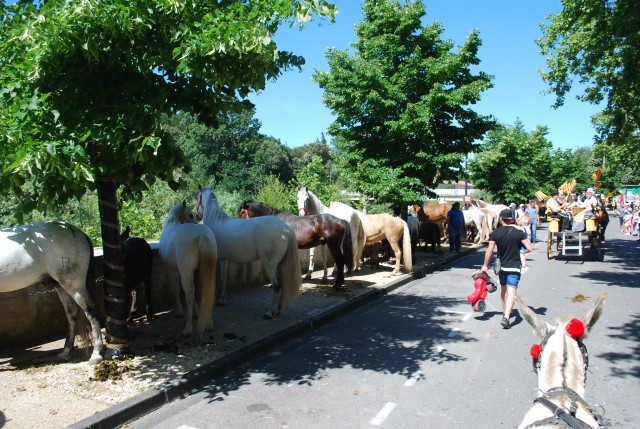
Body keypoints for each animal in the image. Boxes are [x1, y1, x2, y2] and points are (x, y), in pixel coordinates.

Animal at [0, 222, 104, 362]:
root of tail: (79, 233)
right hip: (59, 285)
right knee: (71, 312)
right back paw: (65, 352)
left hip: (74, 285)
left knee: (90, 310)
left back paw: (96, 354)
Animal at [158, 202, 218, 336]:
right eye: (191, 214)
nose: (196, 221)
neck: (172, 221)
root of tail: (201, 234)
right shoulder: (189, 272)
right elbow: (194, 289)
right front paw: (196, 312)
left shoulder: (174, 270)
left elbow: (176, 287)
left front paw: (179, 311)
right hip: (205, 270)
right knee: (207, 291)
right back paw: (209, 324)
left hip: (186, 273)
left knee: (189, 295)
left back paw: (188, 329)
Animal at [196, 184, 302, 318]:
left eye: (196, 197)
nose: (196, 216)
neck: (215, 221)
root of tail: (286, 229)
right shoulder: (225, 259)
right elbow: (224, 277)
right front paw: (222, 300)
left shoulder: (219, 258)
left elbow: (221, 277)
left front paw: (220, 300)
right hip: (280, 264)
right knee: (283, 284)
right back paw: (279, 310)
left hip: (270, 265)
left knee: (277, 286)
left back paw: (270, 312)